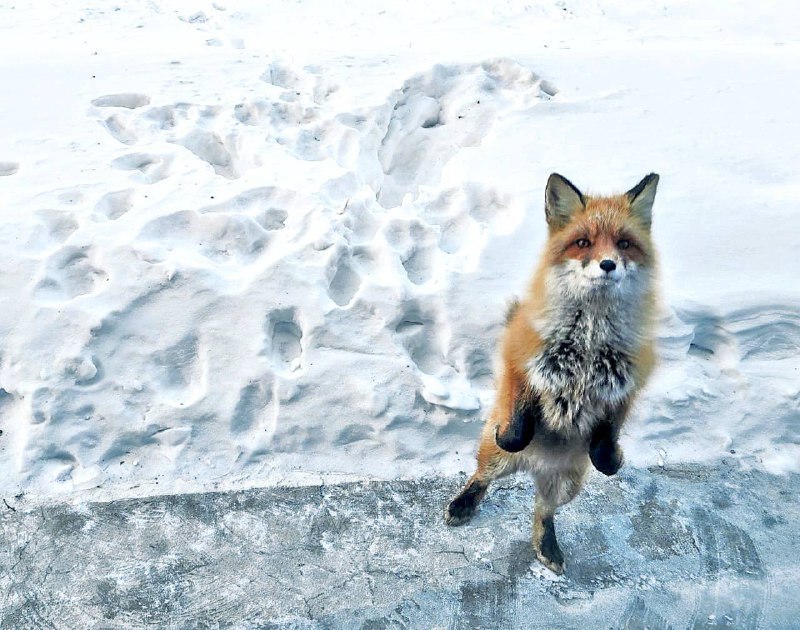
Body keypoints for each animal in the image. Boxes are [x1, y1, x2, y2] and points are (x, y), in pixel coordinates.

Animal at [440, 173, 660, 576]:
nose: (608, 264)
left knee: (543, 511)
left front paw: (612, 458)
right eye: (583, 242)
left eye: (624, 243)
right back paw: (464, 503)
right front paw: (511, 432)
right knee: (481, 476)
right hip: (496, 460)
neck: (588, 343)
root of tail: (535, 466)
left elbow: (607, 446)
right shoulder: (519, 358)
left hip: (566, 484)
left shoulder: (628, 382)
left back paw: (547, 545)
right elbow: (514, 428)